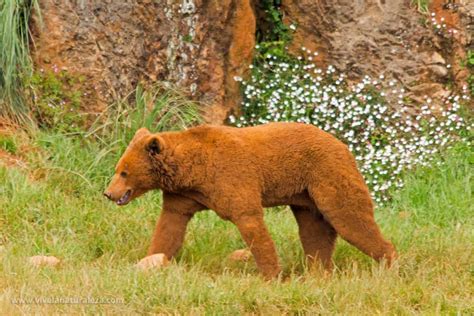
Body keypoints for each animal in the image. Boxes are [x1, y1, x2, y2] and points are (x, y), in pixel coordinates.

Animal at [103, 122, 396, 278]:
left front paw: (272, 275)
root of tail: (343, 145)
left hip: (327, 175)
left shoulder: (232, 177)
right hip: (305, 196)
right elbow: (169, 227)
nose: (108, 193)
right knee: (314, 231)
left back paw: (389, 262)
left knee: (349, 218)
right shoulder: (183, 196)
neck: (194, 170)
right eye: (118, 168)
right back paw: (318, 271)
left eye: (125, 172)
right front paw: (152, 259)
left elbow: (250, 220)